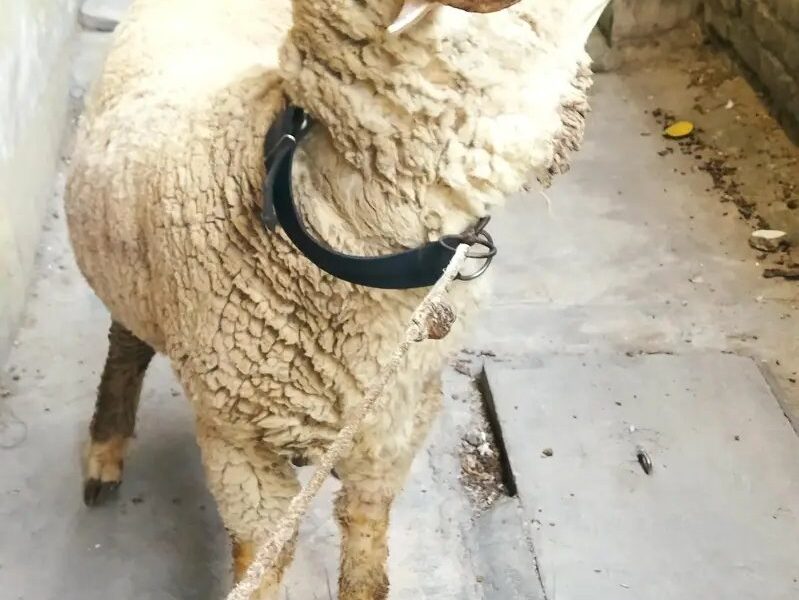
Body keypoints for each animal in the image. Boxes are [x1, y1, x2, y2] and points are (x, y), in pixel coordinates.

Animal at [65, 0, 609, 597]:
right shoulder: (236, 440)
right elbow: (261, 559)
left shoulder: (397, 419)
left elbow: (366, 532)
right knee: (126, 348)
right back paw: (105, 454)